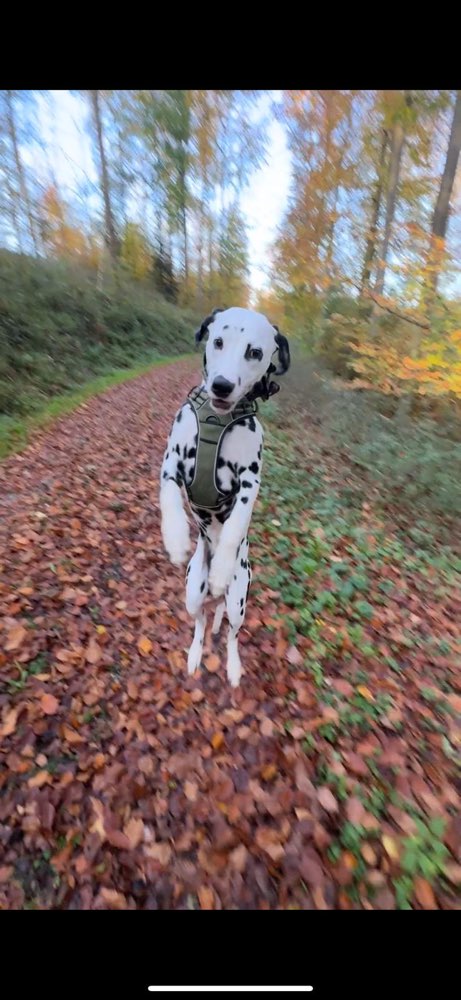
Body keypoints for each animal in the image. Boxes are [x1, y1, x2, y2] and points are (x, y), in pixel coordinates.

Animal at [158, 304, 288, 684]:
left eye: (255, 352)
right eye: (218, 341)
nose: (222, 385)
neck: (217, 420)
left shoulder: (250, 482)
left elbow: (234, 527)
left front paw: (222, 565)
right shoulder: (170, 463)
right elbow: (169, 499)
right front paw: (175, 538)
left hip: (239, 600)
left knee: (230, 631)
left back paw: (232, 664)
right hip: (191, 592)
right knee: (201, 621)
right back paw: (194, 654)